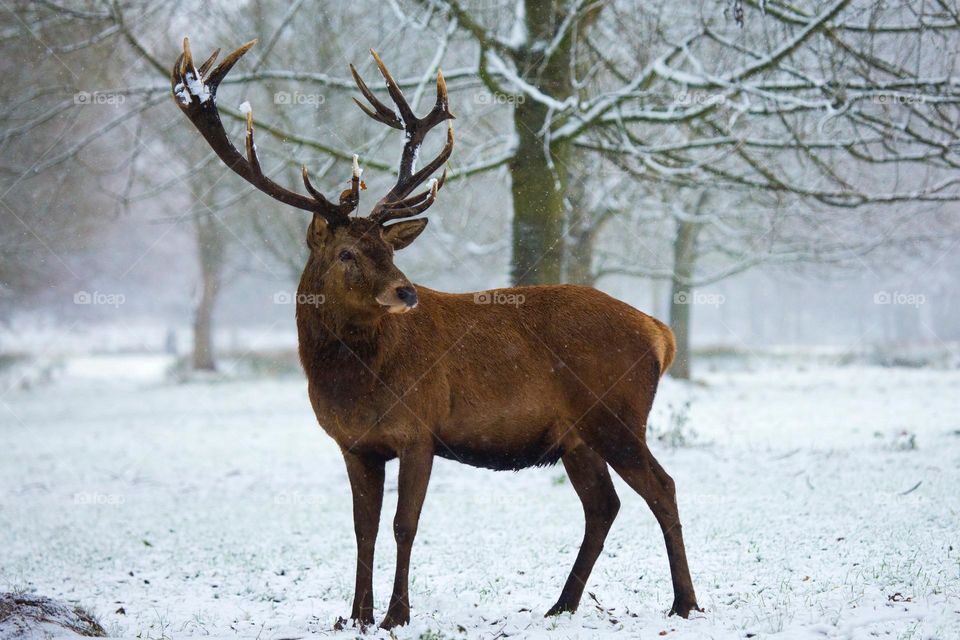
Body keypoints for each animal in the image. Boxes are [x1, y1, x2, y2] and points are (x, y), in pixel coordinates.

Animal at [171, 38, 696, 632]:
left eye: (389, 248)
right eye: (347, 253)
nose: (405, 292)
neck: (352, 382)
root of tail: (660, 333)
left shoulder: (418, 429)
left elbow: (405, 525)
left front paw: (396, 615)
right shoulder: (355, 444)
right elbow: (363, 529)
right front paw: (356, 616)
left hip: (617, 413)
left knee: (662, 487)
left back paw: (684, 602)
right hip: (576, 435)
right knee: (604, 505)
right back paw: (560, 605)